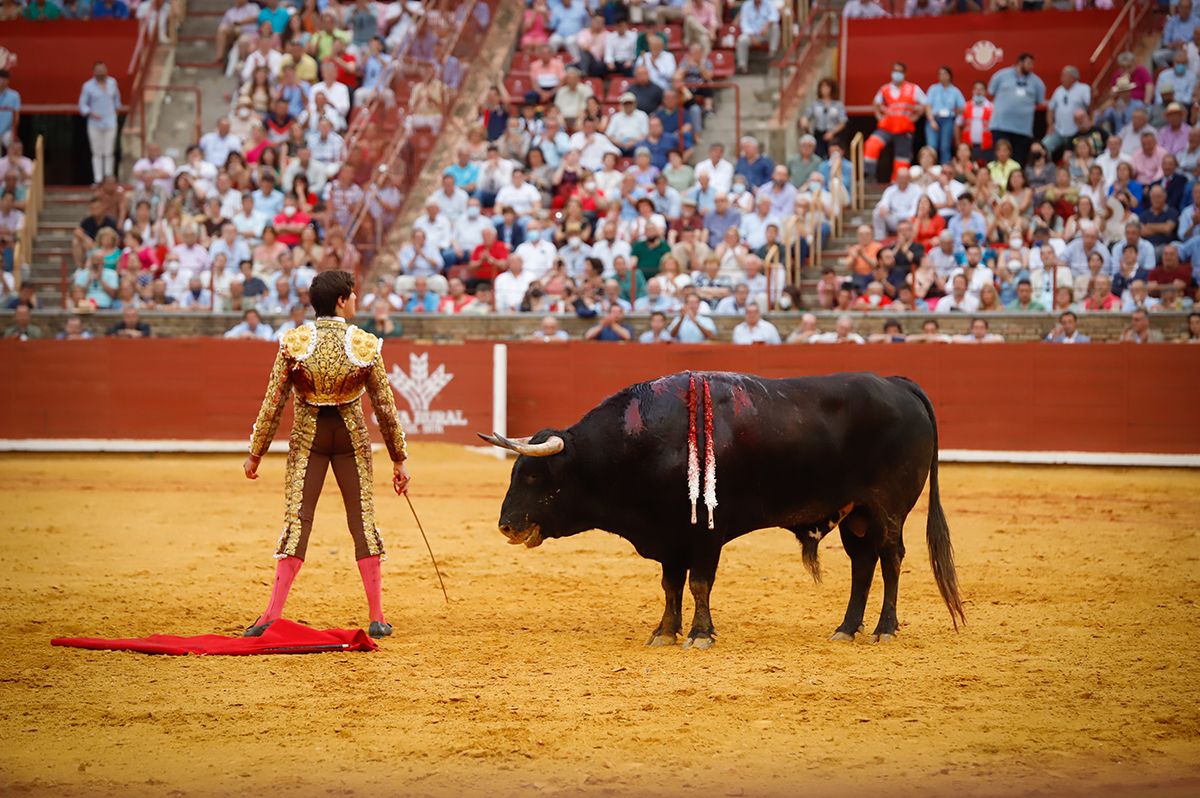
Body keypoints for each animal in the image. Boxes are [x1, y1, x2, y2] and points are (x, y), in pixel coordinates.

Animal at [480, 369, 964, 643]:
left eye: (533, 475)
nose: (506, 526)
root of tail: (898, 384)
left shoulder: (705, 535)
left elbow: (698, 584)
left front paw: (699, 634)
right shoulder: (670, 537)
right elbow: (671, 586)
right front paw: (665, 632)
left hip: (887, 510)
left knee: (891, 558)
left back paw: (885, 629)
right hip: (856, 515)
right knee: (862, 565)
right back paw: (846, 629)